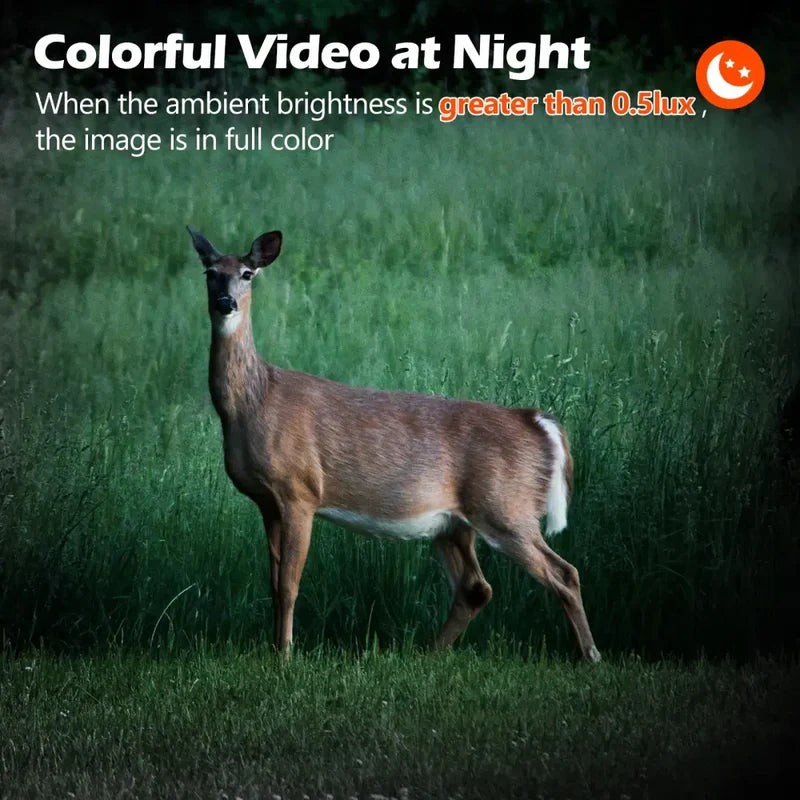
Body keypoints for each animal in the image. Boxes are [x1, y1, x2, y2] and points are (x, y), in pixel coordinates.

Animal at [188, 226, 601, 662]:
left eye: (248, 273)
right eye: (210, 272)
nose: (226, 302)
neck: (255, 401)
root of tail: (538, 421)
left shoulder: (299, 490)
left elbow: (288, 583)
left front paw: (284, 655)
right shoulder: (266, 502)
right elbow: (272, 582)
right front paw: (274, 647)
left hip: (507, 507)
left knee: (564, 572)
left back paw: (590, 654)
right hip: (454, 523)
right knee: (476, 587)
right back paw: (427, 652)